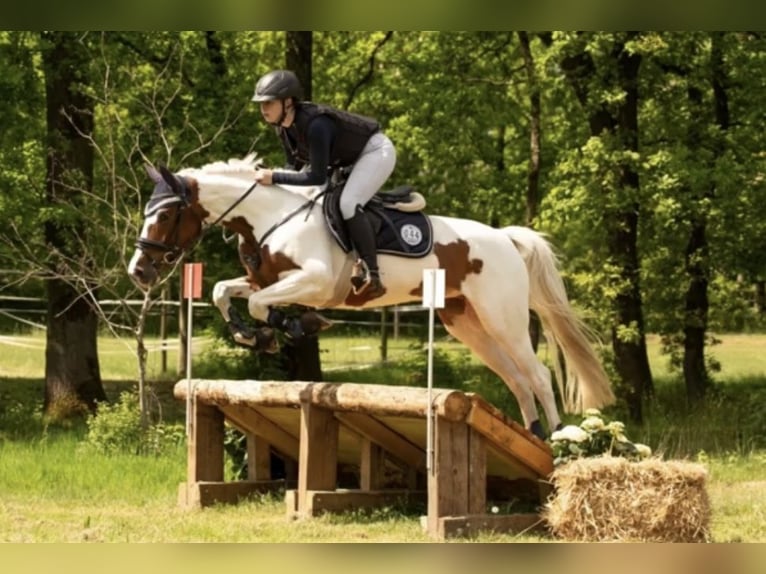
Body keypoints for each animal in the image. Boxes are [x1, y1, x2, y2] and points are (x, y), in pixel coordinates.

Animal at [127, 154, 615, 439]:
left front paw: (294, 326)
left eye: (165, 215)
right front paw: (253, 336)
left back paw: (560, 443)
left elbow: (259, 304)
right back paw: (533, 435)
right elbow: (224, 291)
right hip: (468, 323)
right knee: (516, 377)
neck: (269, 216)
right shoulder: (268, 278)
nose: (138, 271)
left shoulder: (316, 280)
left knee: (538, 374)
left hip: (503, 317)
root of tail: (506, 238)